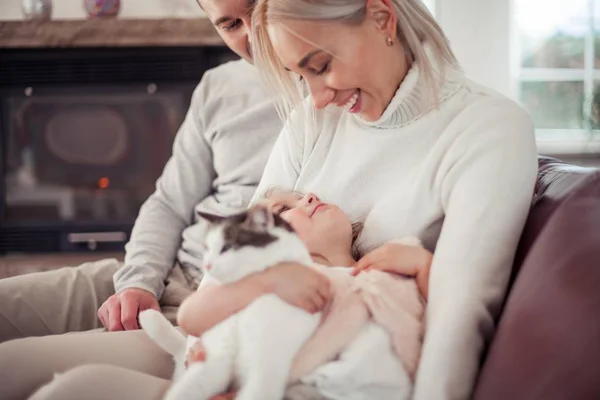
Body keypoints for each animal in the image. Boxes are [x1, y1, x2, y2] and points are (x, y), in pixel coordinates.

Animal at [140, 206, 322, 400]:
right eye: (207, 248)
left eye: (226, 248)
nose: (207, 265)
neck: (244, 306)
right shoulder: (215, 359)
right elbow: (185, 391)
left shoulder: (265, 370)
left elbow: (256, 391)